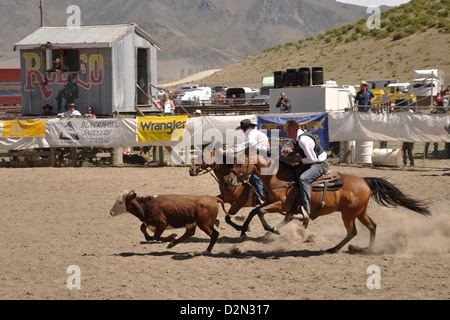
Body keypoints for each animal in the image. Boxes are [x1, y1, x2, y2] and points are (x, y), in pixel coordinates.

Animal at [230, 154, 430, 254]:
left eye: (240, 163)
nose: (231, 179)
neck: (278, 177)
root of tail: (364, 180)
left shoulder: (282, 205)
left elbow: (260, 212)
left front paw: (272, 229)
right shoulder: (274, 203)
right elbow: (254, 211)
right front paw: (243, 230)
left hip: (348, 214)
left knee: (353, 232)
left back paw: (334, 248)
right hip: (360, 212)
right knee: (372, 226)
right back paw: (367, 249)